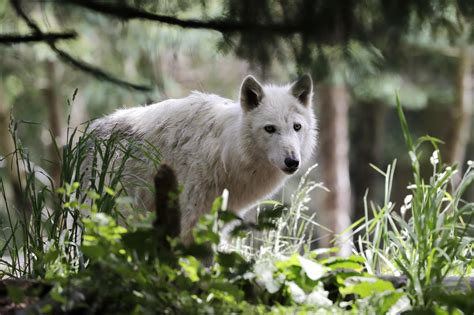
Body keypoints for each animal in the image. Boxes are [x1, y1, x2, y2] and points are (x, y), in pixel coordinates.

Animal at [87, 74, 316, 244]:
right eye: (270, 129)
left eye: (296, 127)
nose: (292, 161)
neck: (225, 152)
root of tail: (89, 133)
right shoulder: (190, 215)